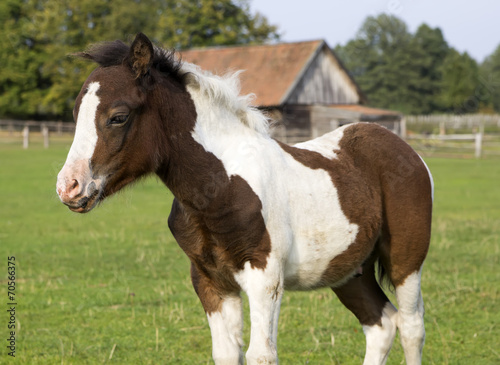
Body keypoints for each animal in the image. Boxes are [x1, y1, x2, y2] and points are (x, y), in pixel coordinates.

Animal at [55, 32, 434, 362]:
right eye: (75, 115)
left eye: (118, 117)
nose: (68, 186)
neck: (219, 188)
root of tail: (401, 145)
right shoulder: (210, 281)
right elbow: (226, 353)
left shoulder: (265, 277)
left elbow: (261, 355)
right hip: (349, 269)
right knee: (381, 326)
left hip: (406, 260)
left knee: (411, 327)